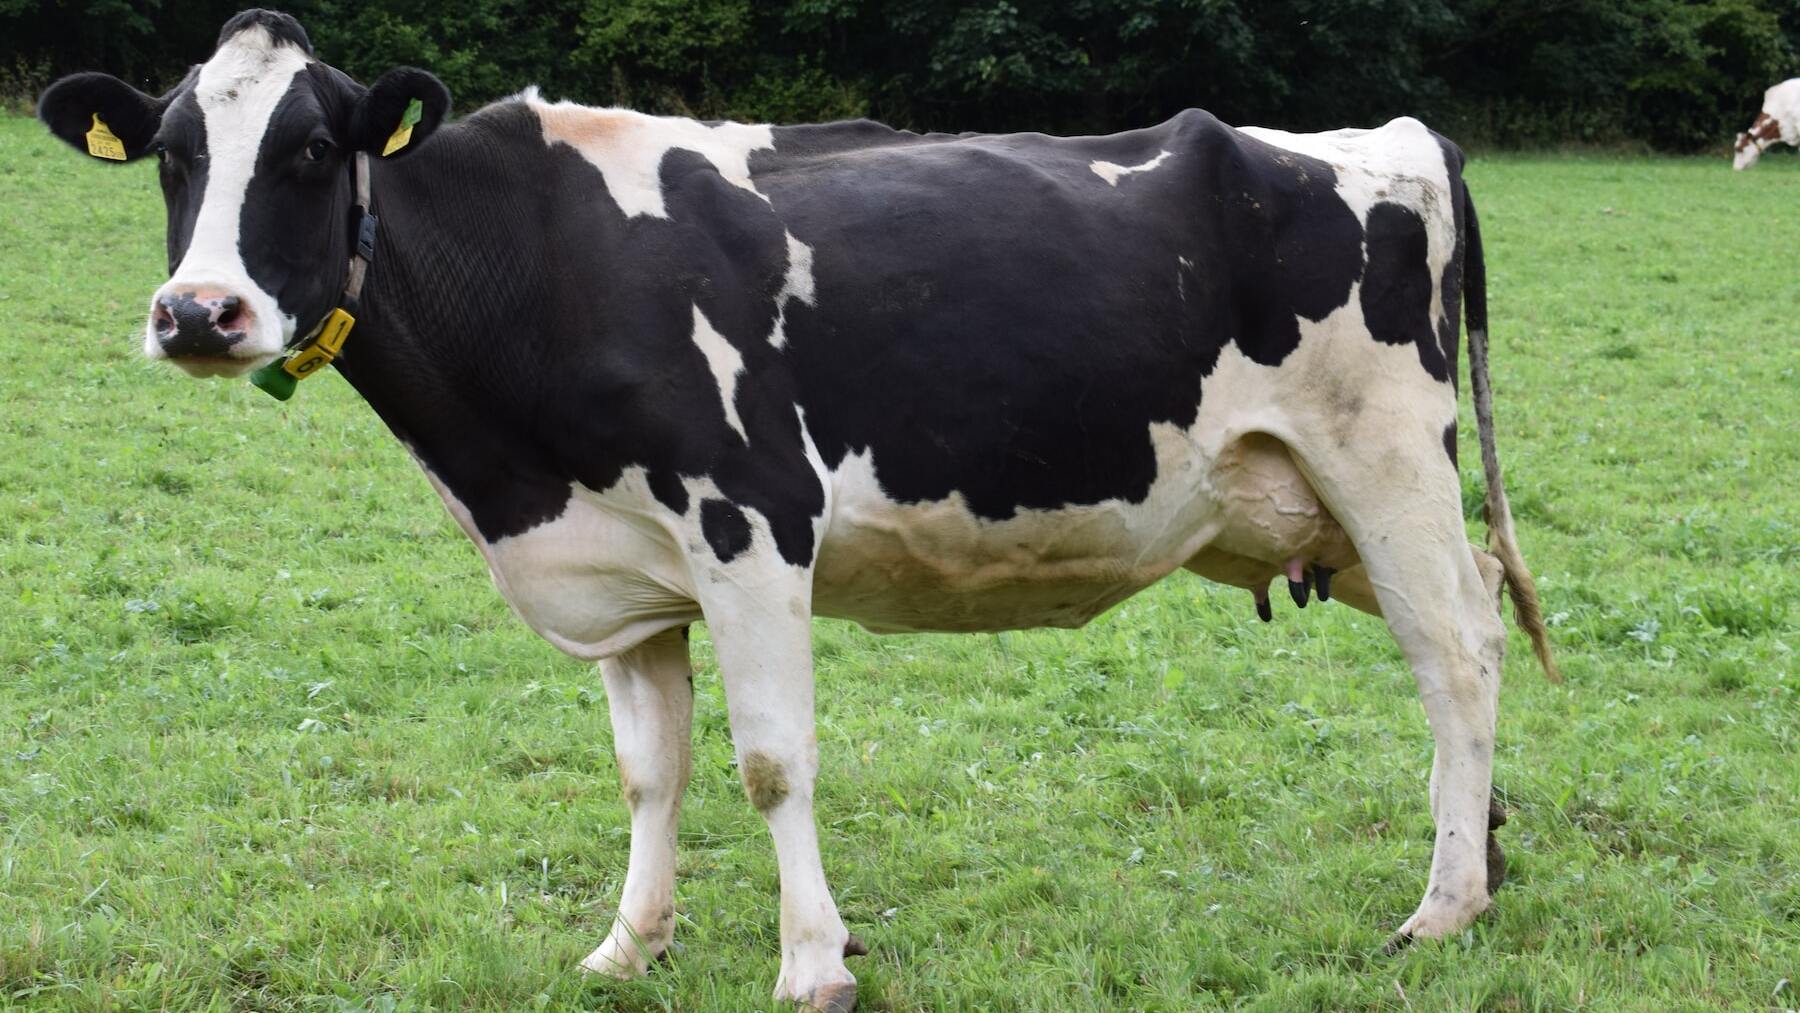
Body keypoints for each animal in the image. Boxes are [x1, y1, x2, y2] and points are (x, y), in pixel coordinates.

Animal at [38, 10, 1559, 1010]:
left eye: (309, 150)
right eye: (172, 154)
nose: (199, 313)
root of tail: (1391, 136)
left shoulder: (751, 522)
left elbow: (772, 760)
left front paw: (813, 962)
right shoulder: (628, 569)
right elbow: (650, 769)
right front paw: (628, 944)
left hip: (1387, 463)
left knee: (1459, 653)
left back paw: (1439, 906)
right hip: (1316, 505)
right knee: (1471, 632)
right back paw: (1482, 856)